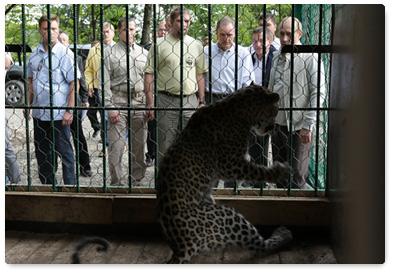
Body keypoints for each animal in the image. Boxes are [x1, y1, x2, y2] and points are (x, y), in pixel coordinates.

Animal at [71, 84, 294, 262]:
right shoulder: (230, 163)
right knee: (259, 245)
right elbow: (256, 170)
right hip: (227, 217)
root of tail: (180, 246)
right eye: (275, 111)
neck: (239, 107)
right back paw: (283, 234)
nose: (272, 128)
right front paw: (280, 172)